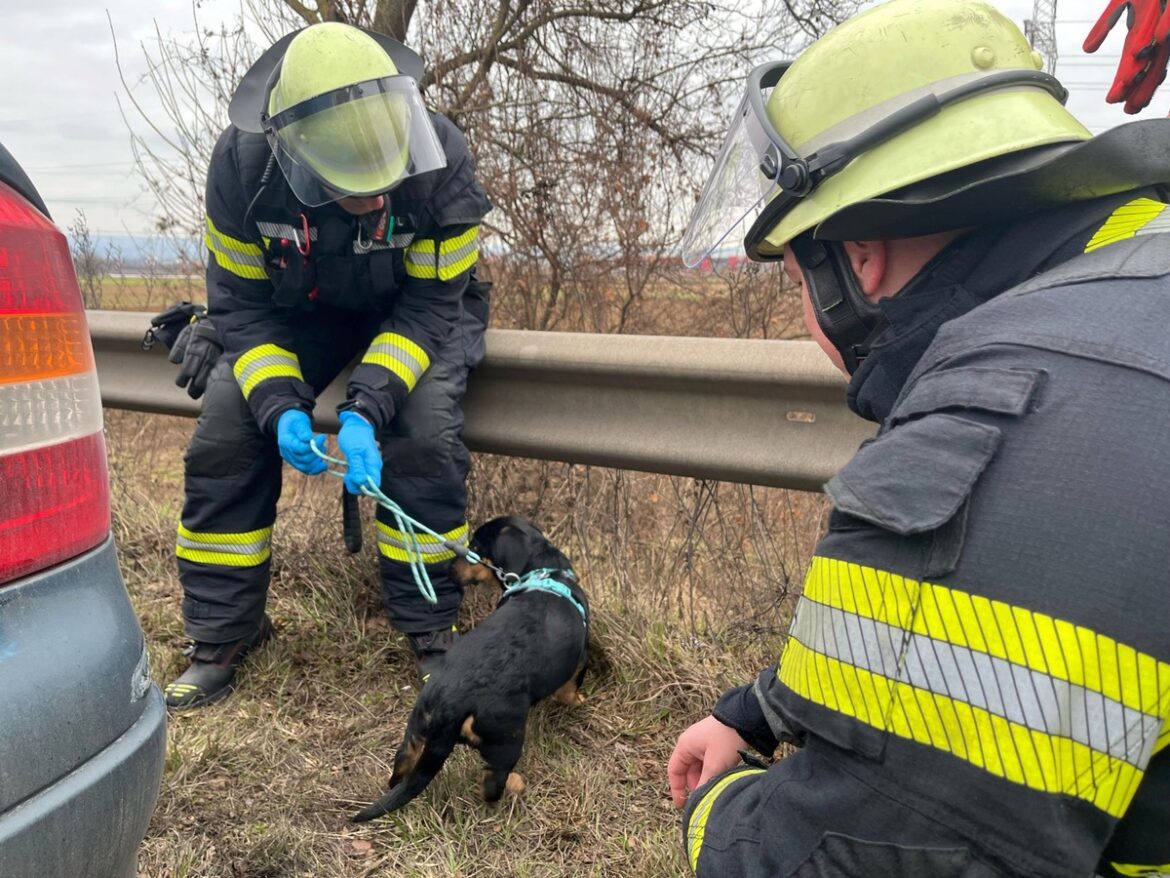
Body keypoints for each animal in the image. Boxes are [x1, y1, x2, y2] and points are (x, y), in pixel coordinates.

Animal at [351, 515, 589, 824]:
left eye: (474, 548)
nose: (447, 569)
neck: (544, 574)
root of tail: (450, 701)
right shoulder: (580, 660)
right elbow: (571, 688)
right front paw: (578, 702)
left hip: (417, 725)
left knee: (402, 764)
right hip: (506, 739)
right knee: (492, 782)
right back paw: (512, 789)